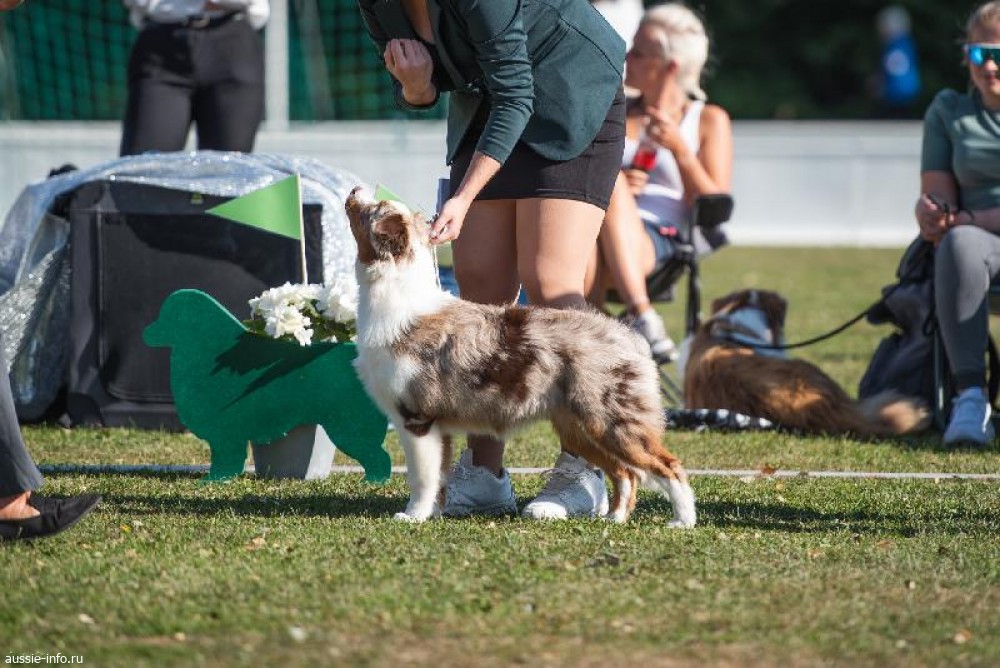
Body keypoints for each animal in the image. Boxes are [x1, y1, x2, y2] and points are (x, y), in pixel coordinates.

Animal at [344, 186, 696, 526]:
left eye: (371, 211)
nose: (354, 189)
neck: (395, 297)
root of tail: (630, 337)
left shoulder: (417, 418)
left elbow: (422, 479)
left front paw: (412, 517)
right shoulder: (437, 427)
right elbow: (438, 479)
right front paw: (433, 514)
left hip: (612, 420)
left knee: (669, 466)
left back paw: (682, 520)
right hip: (582, 427)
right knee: (624, 472)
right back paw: (615, 518)